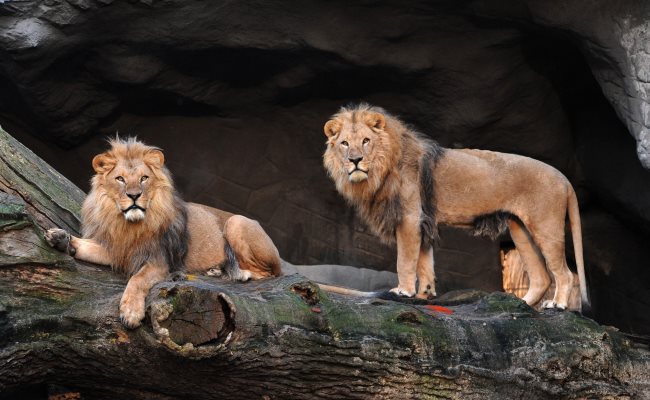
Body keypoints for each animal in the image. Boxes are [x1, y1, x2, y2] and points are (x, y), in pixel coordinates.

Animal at [44, 138, 280, 328]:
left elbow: (137, 279)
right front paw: (59, 238)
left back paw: (237, 273)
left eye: (144, 178)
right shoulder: (118, 249)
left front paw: (131, 312)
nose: (134, 195)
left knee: (267, 273)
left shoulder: (159, 260)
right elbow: (84, 245)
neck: (129, 226)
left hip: (235, 222)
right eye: (120, 179)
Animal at [322, 103, 588, 310]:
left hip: (545, 226)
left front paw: (403, 291)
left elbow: (405, 260)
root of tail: (564, 178)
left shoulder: (409, 217)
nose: (355, 160)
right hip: (520, 228)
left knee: (564, 273)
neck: (382, 167)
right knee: (541, 277)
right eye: (344, 143)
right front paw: (425, 295)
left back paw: (558, 305)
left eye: (366, 141)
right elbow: (424, 262)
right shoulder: (423, 221)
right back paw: (520, 305)